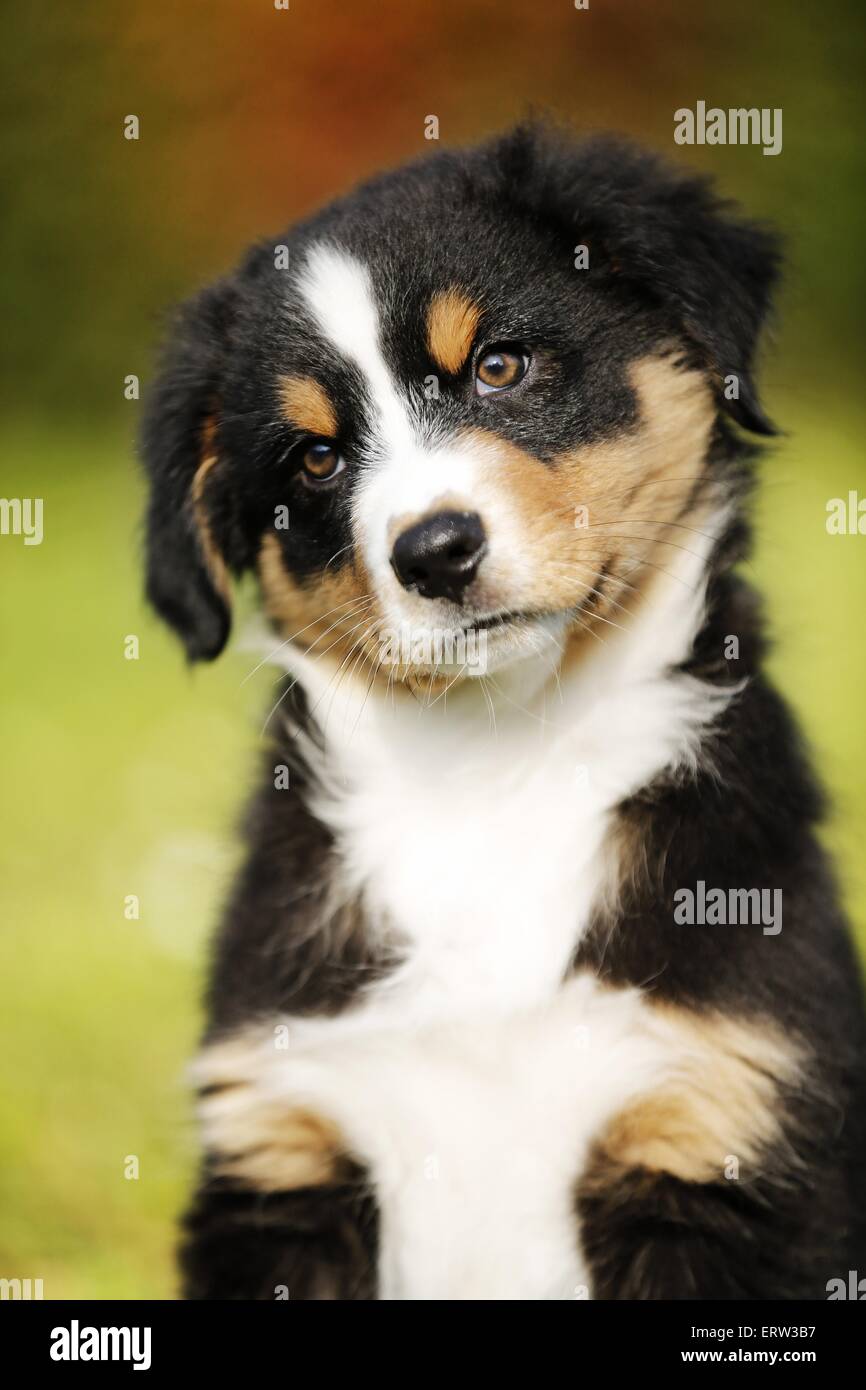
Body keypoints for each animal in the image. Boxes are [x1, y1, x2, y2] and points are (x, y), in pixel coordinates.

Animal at [142, 125, 866, 1295]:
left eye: (500, 365)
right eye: (315, 457)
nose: (435, 551)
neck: (495, 765)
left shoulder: (720, 1131)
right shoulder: (286, 1144)